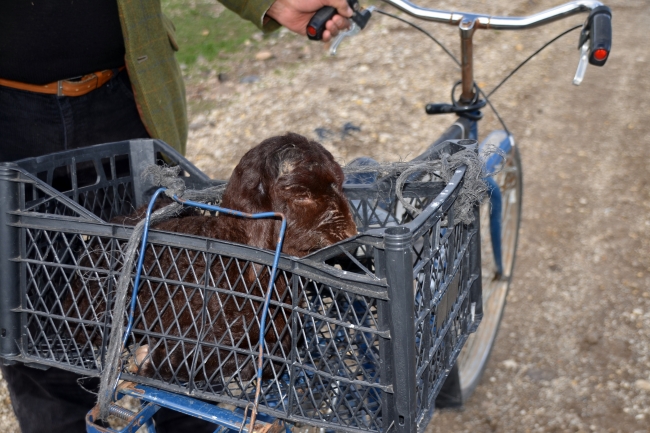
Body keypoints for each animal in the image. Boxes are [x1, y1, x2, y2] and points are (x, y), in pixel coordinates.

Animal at [68, 132, 356, 384]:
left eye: (340, 185)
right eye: (301, 194)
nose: (351, 233)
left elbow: (269, 357)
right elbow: (195, 358)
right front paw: (145, 361)